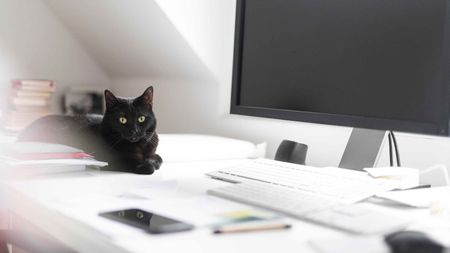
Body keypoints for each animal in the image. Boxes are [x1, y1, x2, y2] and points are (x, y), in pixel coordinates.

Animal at [17, 86, 163, 175]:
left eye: (141, 118)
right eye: (122, 119)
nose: (134, 131)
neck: (139, 147)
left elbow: (158, 158)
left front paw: (152, 162)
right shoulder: (111, 160)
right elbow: (131, 161)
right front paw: (146, 166)